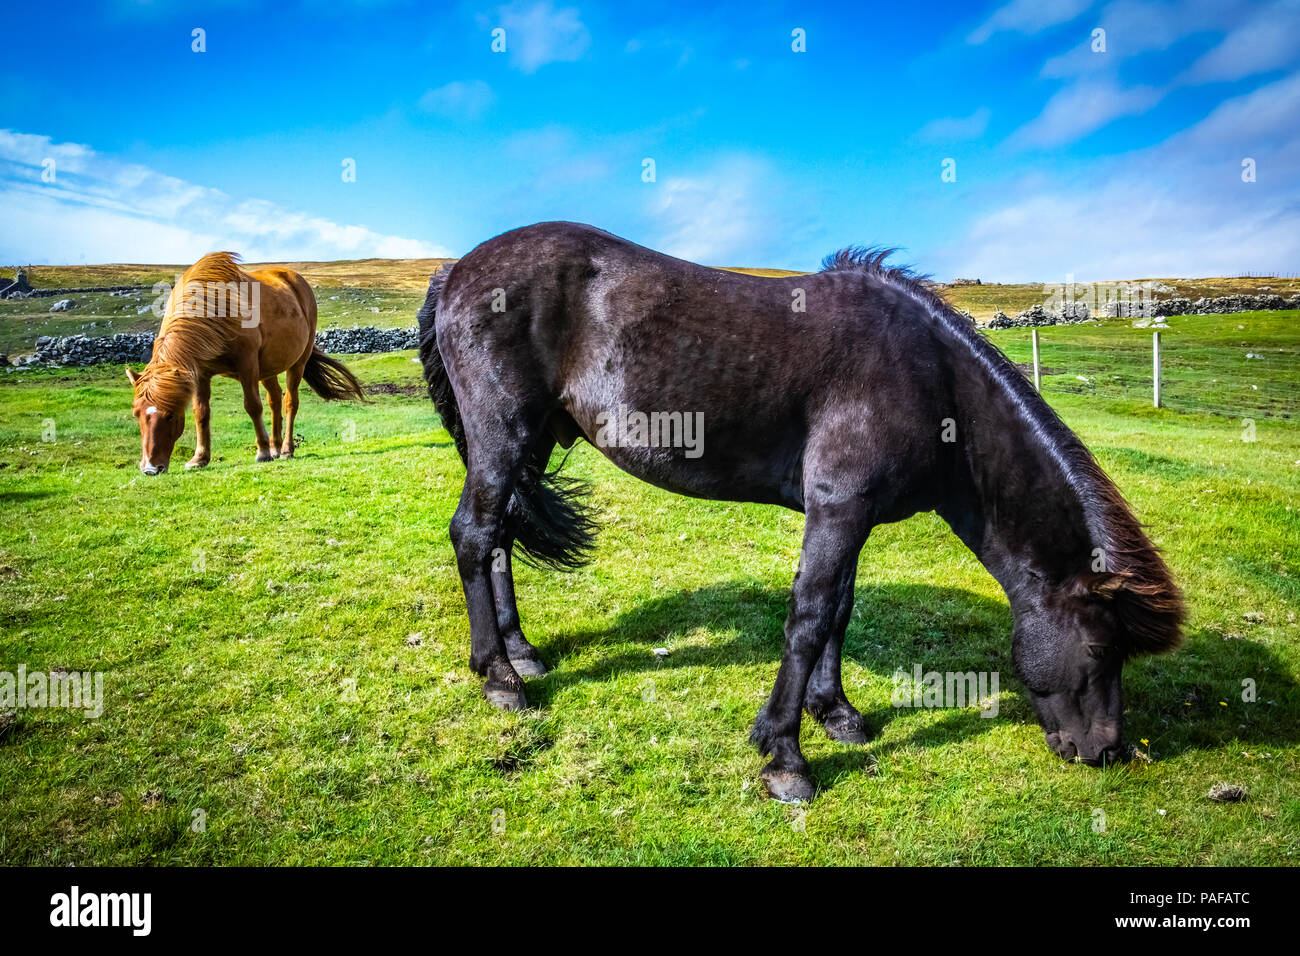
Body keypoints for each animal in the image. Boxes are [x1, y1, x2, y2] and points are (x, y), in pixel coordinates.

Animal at [125, 254, 366, 476]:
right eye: (137, 414)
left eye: (170, 415)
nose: (150, 468)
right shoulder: (200, 373)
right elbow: (201, 412)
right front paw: (200, 458)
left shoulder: (247, 366)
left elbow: (252, 406)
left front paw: (262, 452)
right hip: (268, 368)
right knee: (274, 399)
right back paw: (276, 446)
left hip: (297, 363)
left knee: (290, 402)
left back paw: (286, 449)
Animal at [418, 221, 1190, 806]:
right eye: (1101, 650)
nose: (1107, 751)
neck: (930, 380)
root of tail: (457, 271)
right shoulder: (838, 508)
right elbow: (810, 617)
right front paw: (785, 759)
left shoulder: (853, 516)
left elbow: (839, 610)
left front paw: (836, 712)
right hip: (504, 433)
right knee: (475, 534)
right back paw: (500, 678)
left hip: (532, 442)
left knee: (499, 538)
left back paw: (521, 650)